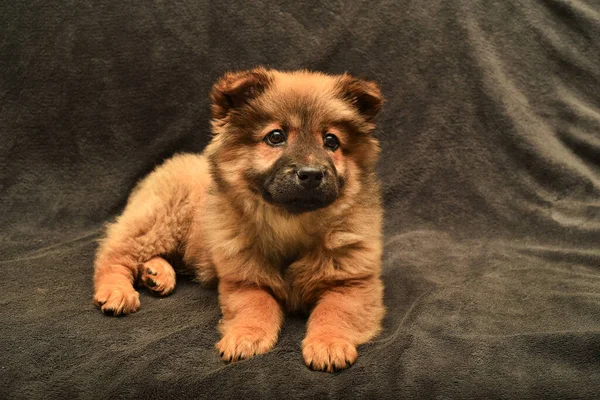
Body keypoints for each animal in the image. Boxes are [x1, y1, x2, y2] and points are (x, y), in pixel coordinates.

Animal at [92, 68, 384, 372]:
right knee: (113, 255)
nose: (312, 174)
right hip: (161, 220)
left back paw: (156, 274)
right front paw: (246, 336)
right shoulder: (244, 280)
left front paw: (328, 343)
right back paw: (117, 291)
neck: (291, 223)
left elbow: (335, 311)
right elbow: (256, 306)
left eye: (331, 141)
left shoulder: (353, 283)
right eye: (276, 137)